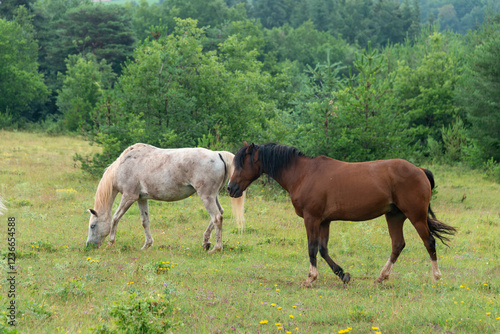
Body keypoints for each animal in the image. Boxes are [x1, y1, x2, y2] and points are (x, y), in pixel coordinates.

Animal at [88, 142, 248, 252]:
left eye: (92, 226)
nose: (88, 245)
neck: (124, 165)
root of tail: (218, 154)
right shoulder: (141, 199)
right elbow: (145, 221)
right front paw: (147, 245)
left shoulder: (129, 197)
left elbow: (115, 218)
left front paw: (110, 243)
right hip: (213, 196)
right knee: (219, 213)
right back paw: (206, 242)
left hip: (206, 196)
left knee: (216, 218)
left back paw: (216, 248)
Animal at [227, 142, 458, 286]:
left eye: (242, 163)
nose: (230, 188)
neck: (303, 174)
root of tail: (419, 170)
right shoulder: (324, 221)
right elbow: (323, 249)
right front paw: (342, 274)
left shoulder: (312, 218)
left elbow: (312, 249)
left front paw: (310, 278)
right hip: (395, 215)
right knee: (398, 245)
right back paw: (381, 277)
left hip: (415, 215)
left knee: (429, 242)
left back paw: (436, 277)